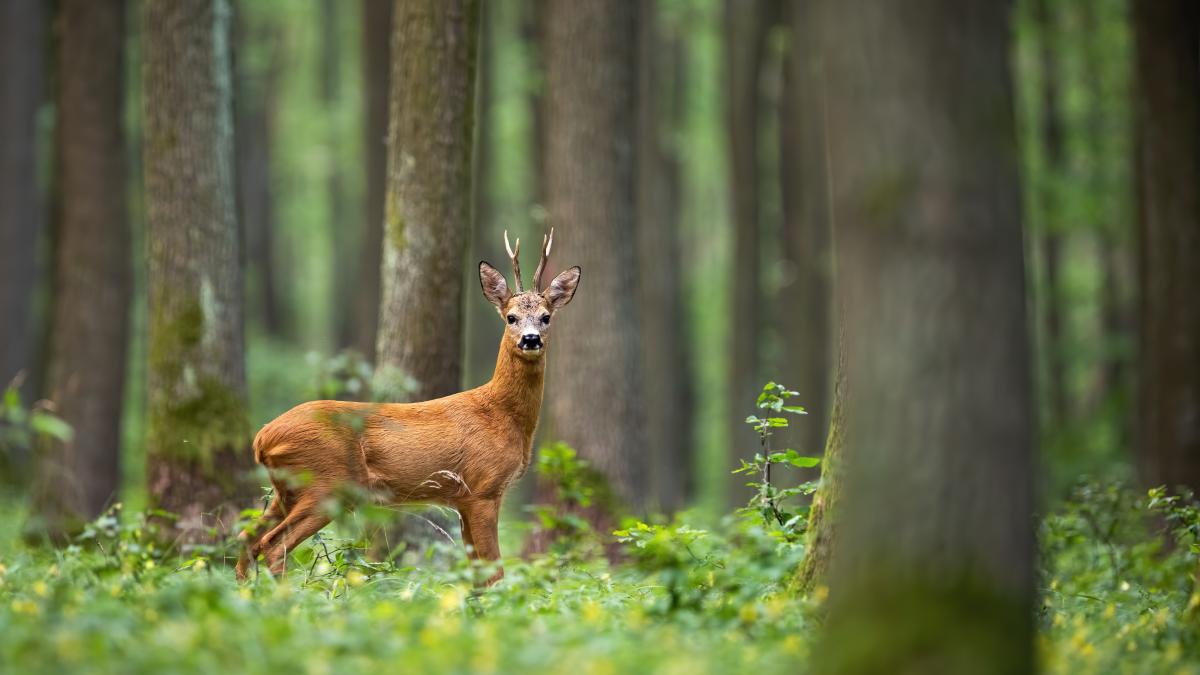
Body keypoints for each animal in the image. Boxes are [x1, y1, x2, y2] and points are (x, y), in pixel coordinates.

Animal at [235, 229, 579, 586]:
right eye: (511, 317)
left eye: (546, 317)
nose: (530, 339)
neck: (502, 414)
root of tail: (262, 438)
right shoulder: (483, 488)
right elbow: (494, 571)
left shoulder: (462, 499)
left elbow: (477, 574)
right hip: (325, 484)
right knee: (272, 544)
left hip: (286, 490)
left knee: (246, 539)